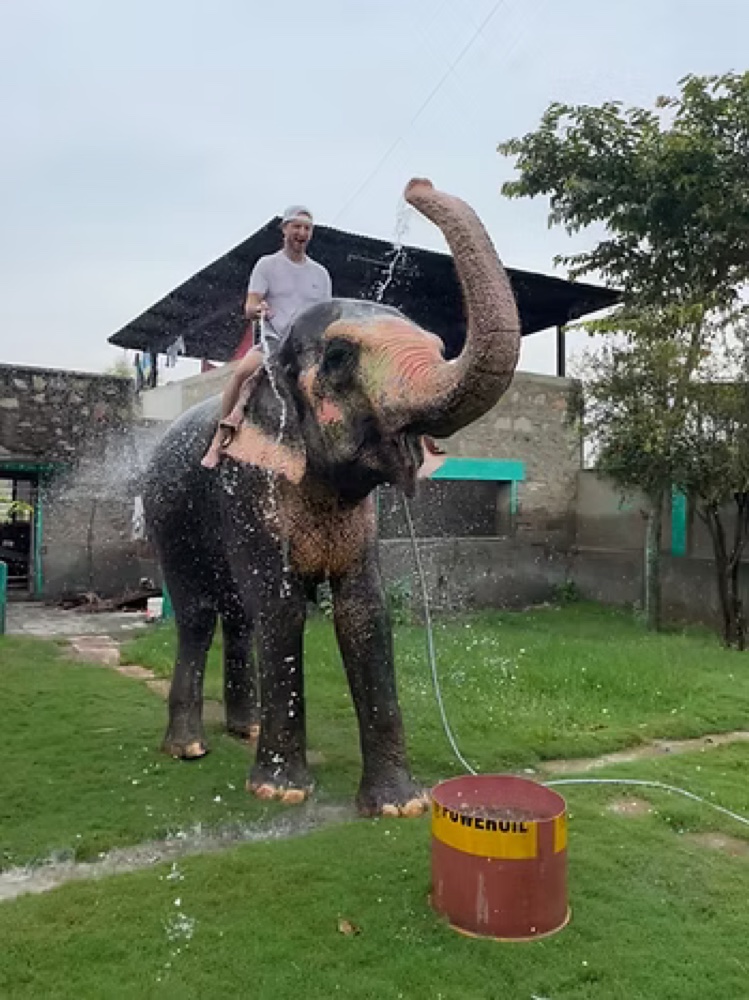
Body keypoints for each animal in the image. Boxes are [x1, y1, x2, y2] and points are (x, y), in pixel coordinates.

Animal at [142, 178, 520, 817]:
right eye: (340, 358)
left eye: (438, 344)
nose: (417, 184)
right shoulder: (252, 486)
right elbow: (283, 606)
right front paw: (281, 792)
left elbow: (364, 611)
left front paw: (399, 805)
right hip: (169, 513)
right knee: (197, 613)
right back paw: (188, 748)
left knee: (238, 614)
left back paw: (242, 729)